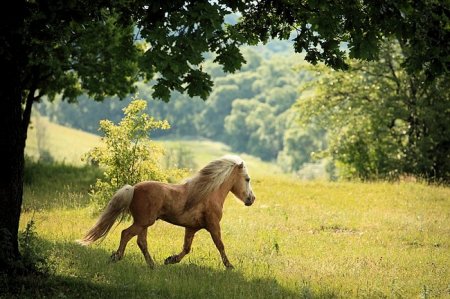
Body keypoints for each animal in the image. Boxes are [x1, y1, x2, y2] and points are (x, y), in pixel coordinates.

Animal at [76, 155, 253, 270]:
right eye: (247, 179)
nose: (252, 199)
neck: (207, 193)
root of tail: (133, 189)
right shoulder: (213, 225)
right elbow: (220, 245)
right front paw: (230, 266)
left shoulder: (191, 228)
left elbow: (186, 248)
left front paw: (170, 260)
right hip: (143, 222)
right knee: (126, 234)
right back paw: (116, 257)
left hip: (143, 223)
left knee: (141, 242)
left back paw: (152, 265)